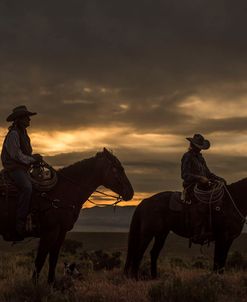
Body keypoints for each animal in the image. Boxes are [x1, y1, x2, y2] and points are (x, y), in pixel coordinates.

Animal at [0, 147, 133, 284]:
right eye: (117, 168)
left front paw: (51, 283)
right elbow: (40, 261)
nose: (131, 192)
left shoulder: (61, 232)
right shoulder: (49, 232)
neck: (61, 193)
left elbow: (53, 259)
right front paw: (34, 286)